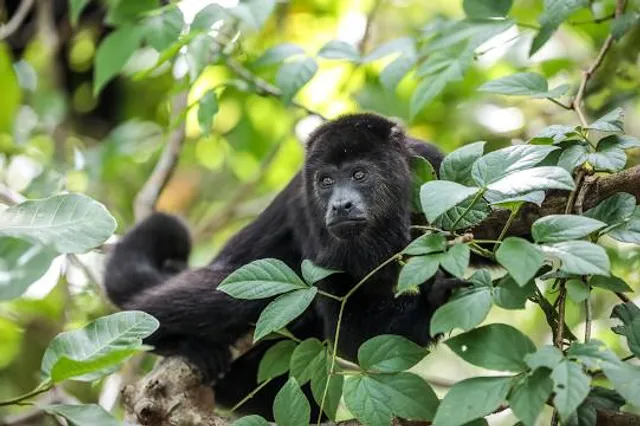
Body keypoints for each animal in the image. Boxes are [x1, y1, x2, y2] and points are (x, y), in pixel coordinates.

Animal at [104, 113, 464, 418]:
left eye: (359, 174)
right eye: (325, 181)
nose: (340, 205)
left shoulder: (432, 163)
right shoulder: (309, 216)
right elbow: (351, 331)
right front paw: (435, 301)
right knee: (211, 301)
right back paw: (186, 345)